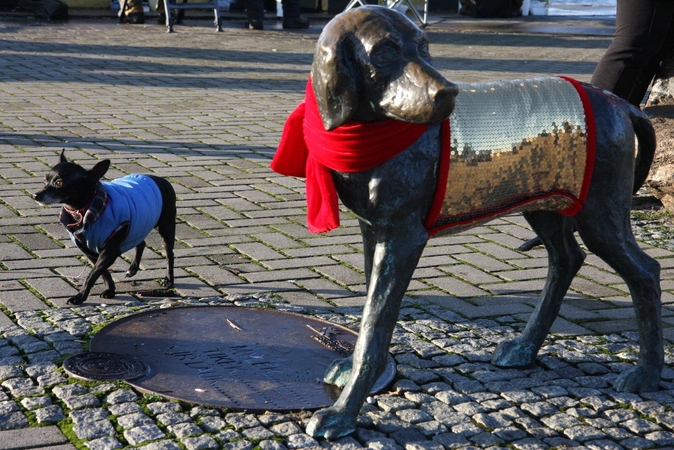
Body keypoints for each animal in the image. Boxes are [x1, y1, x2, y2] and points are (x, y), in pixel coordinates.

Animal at [34, 149, 176, 304]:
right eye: (45, 180)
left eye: (59, 183)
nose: (36, 195)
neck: (82, 210)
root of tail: (162, 180)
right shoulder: (89, 251)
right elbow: (103, 273)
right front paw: (110, 290)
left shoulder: (109, 252)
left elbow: (92, 275)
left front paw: (80, 297)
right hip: (137, 226)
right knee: (141, 243)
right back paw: (132, 269)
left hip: (166, 227)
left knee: (169, 254)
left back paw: (169, 279)